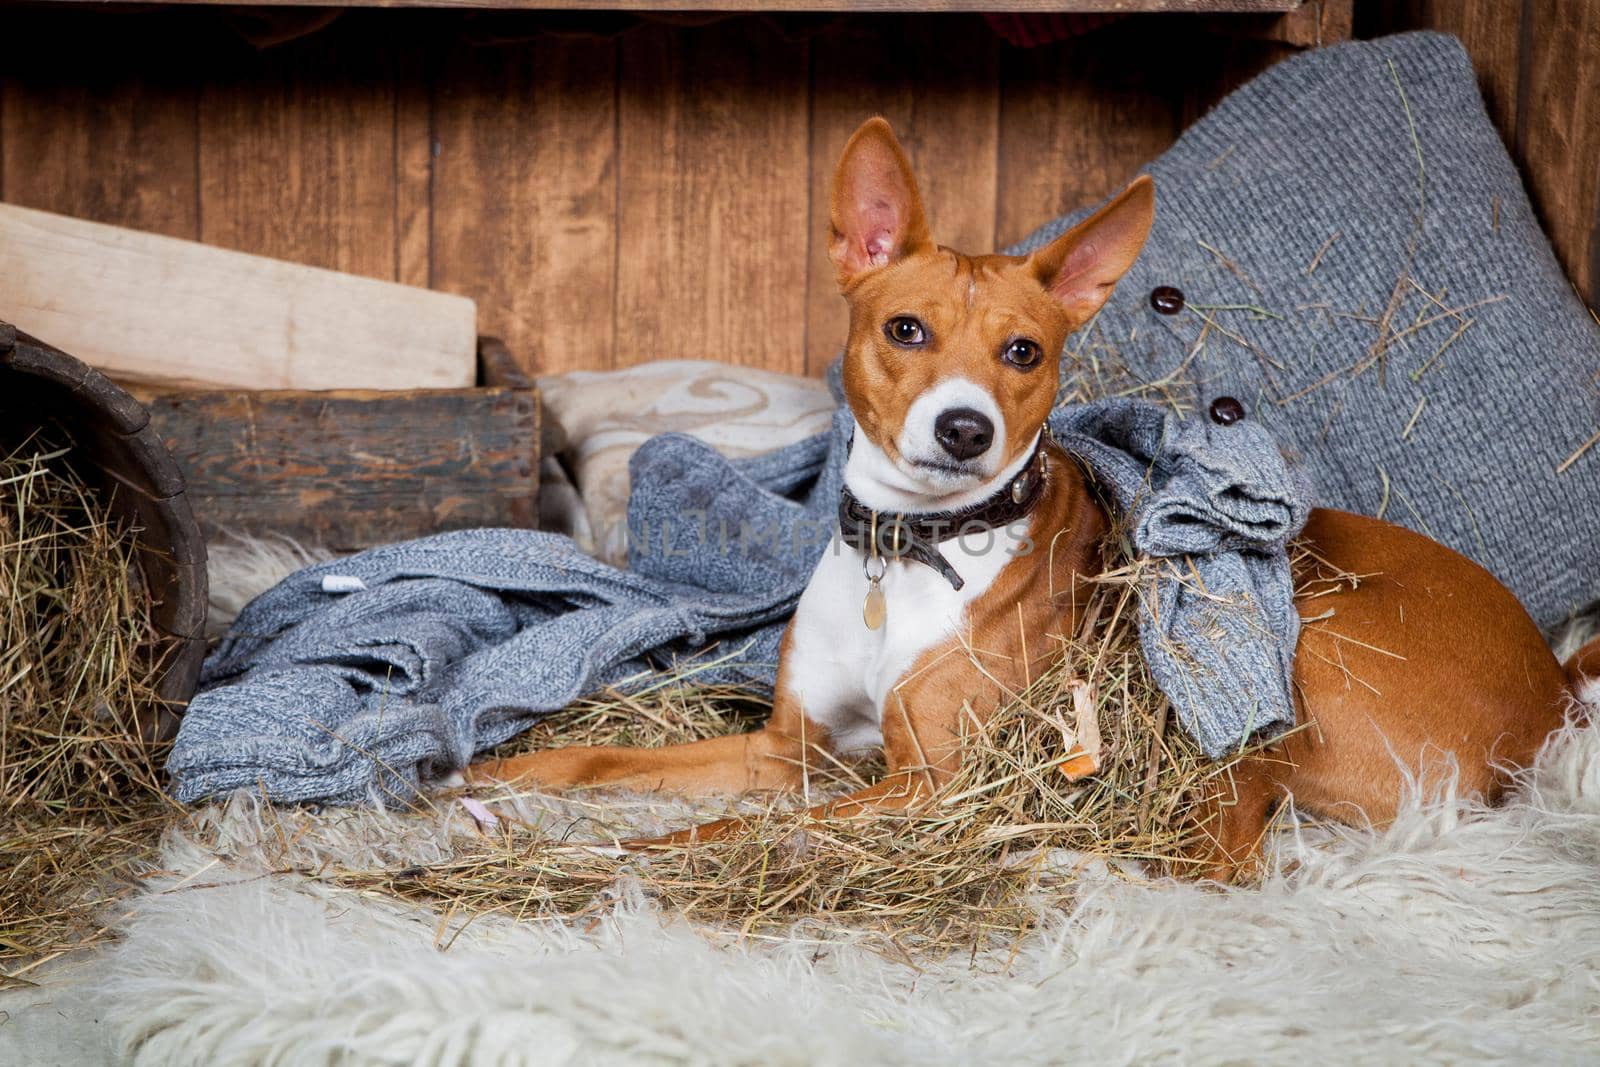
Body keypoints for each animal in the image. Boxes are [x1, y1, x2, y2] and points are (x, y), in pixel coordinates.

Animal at [476, 119, 1600, 883]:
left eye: (1024, 351)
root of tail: (1552, 684)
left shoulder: (924, 781)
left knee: (1235, 840)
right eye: (906, 329)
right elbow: (612, 756)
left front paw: (625, 850)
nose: (964, 428)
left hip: (1296, 648)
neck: (908, 550)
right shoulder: (785, 747)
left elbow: (735, 825)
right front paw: (506, 774)